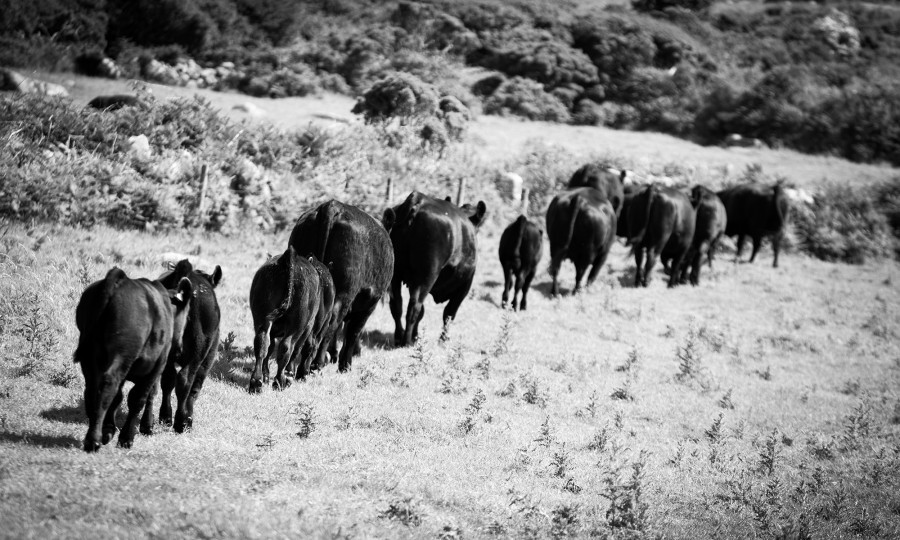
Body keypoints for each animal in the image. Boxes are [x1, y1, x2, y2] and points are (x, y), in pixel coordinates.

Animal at [74, 266, 192, 452]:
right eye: (187, 317)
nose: (180, 348)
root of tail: (120, 280)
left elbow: (119, 397)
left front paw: (109, 429)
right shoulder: (157, 366)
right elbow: (140, 398)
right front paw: (128, 437)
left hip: (90, 355)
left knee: (93, 389)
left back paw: (94, 433)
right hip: (123, 352)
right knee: (109, 383)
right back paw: (94, 440)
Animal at [157, 260, 222, 432]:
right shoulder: (208, 358)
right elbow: (195, 388)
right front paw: (188, 418)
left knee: (168, 380)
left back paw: (165, 417)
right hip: (198, 351)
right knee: (185, 381)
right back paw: (181, 422)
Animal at [250, 246, 326, 392]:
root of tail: (289, 257)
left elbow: (270, 348)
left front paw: (266, 376)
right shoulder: (308, 326)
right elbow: (297, 349)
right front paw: (290, 375)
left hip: (262, 318)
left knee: (261, 344)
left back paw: (256, 382)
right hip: (297, 325)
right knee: (287, 348)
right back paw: (280, 381)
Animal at [288, 200, 394, 374]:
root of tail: (332, 205)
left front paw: (334, 356)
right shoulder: (370, 303)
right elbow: (353, 332)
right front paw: (345, 364)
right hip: (346, 292)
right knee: (332, 321)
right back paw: (317, 363)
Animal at [384, 192, 486, 346]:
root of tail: (419, 198)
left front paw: (417, 336)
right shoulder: (465, 285)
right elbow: (449, 313)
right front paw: (443, 340)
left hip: (395, 273)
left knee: (397, 305)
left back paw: (399, 337)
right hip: (427, 276)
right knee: (414, 307)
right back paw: (406, 341)